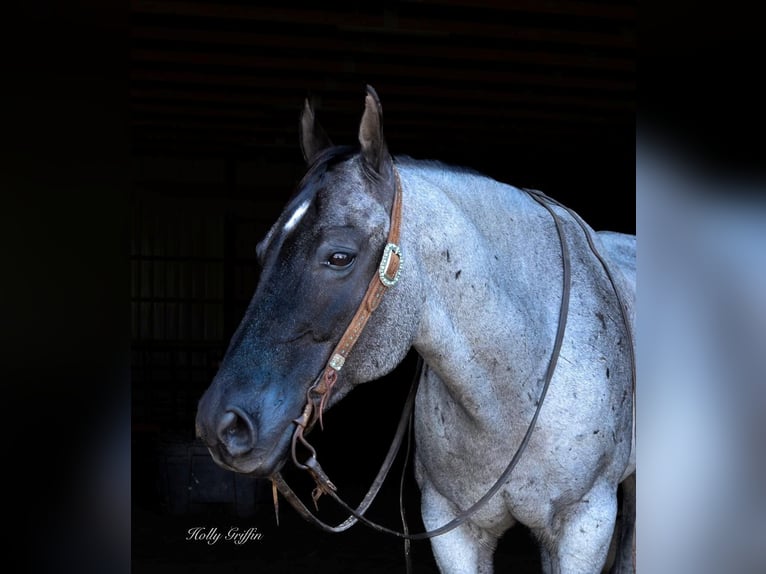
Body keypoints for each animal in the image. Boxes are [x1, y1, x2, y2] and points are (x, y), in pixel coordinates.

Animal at [196, 86, 636, 574]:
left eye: (339, 256)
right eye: (261, 250)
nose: (221, 424)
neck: (518, 386)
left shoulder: (585, 525)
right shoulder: (452, 527)